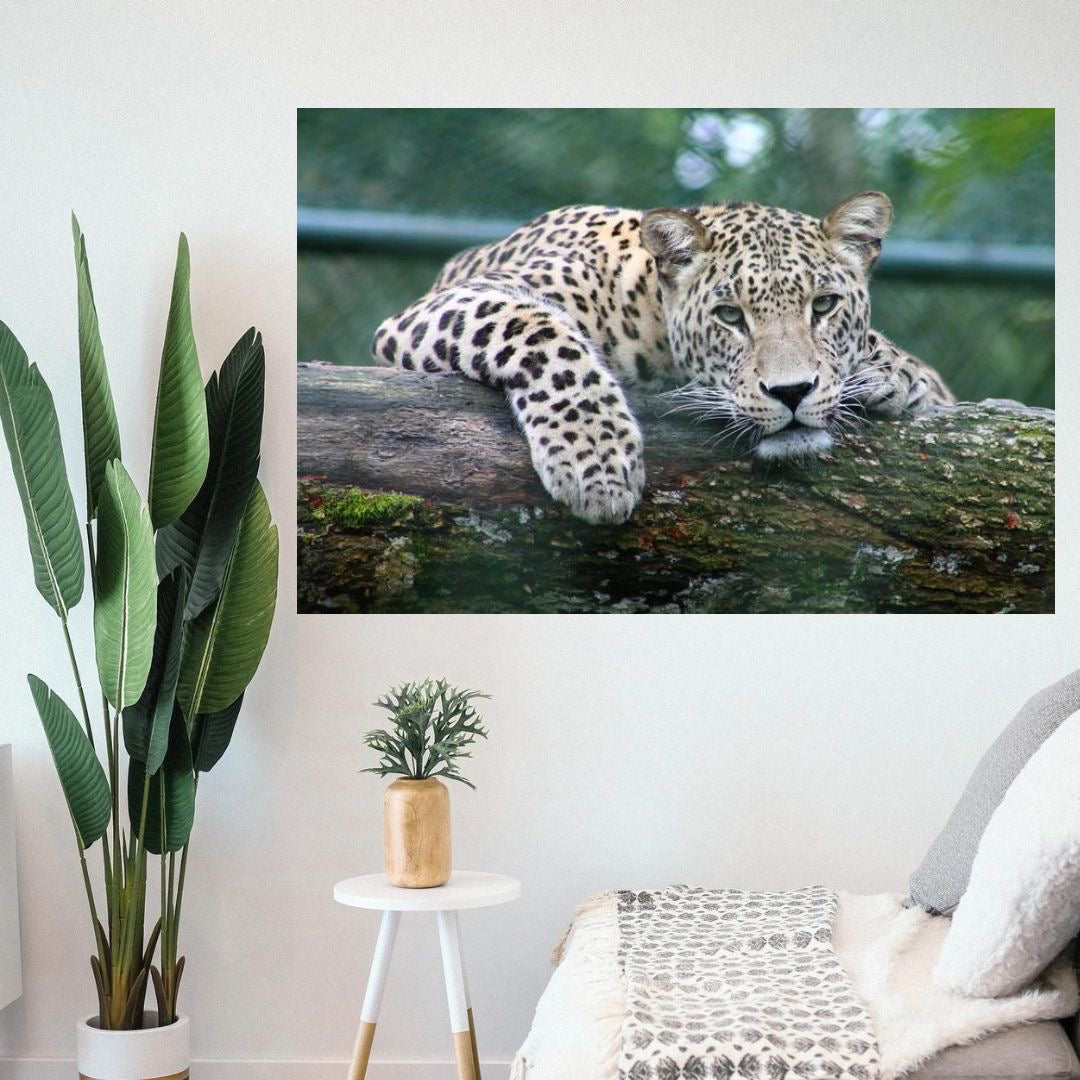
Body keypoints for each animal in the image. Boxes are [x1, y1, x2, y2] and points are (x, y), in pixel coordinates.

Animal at [372, 190, 954, 524]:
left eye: (825, 305)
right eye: (729, 316)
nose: (791, 392)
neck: (648, 311)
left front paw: (899, 374)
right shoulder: (445, 306)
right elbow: (541, 333)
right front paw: (596, 462)